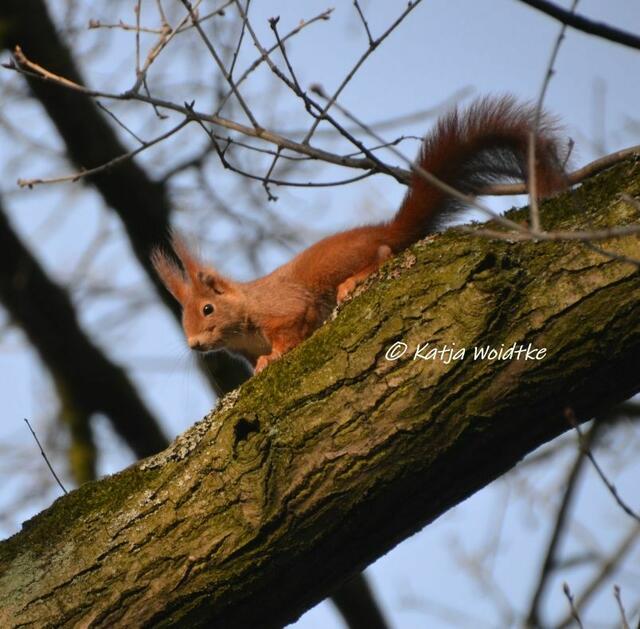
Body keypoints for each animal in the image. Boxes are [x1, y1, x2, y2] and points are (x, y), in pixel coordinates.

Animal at [152, 96, 567, 373]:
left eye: (207, 308)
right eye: (184, 315)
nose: (194, 344)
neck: (245, 314)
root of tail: (388, 227)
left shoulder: (282, 308)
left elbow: (293, 326)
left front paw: (273, 356)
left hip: (341, 261)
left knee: (383, 252)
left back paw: (357, 279)